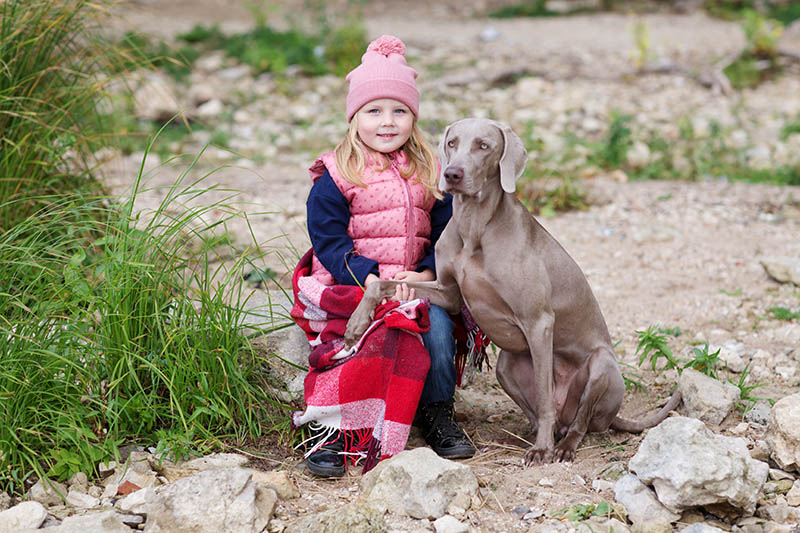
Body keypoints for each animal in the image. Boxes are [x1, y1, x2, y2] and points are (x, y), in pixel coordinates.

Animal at [344, 118, 680, 464]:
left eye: (483, 146)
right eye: (452, 143)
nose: (452, 174)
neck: (474, 226)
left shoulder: (539, 322)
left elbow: (545, 397)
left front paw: (542, 451)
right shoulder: (447, 292)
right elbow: (383, 283)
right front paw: (356, 324)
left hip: (602, 365)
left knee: (577, 421)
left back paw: (560, 446)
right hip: (507, 365)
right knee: (544, 414)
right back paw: (530, 436)